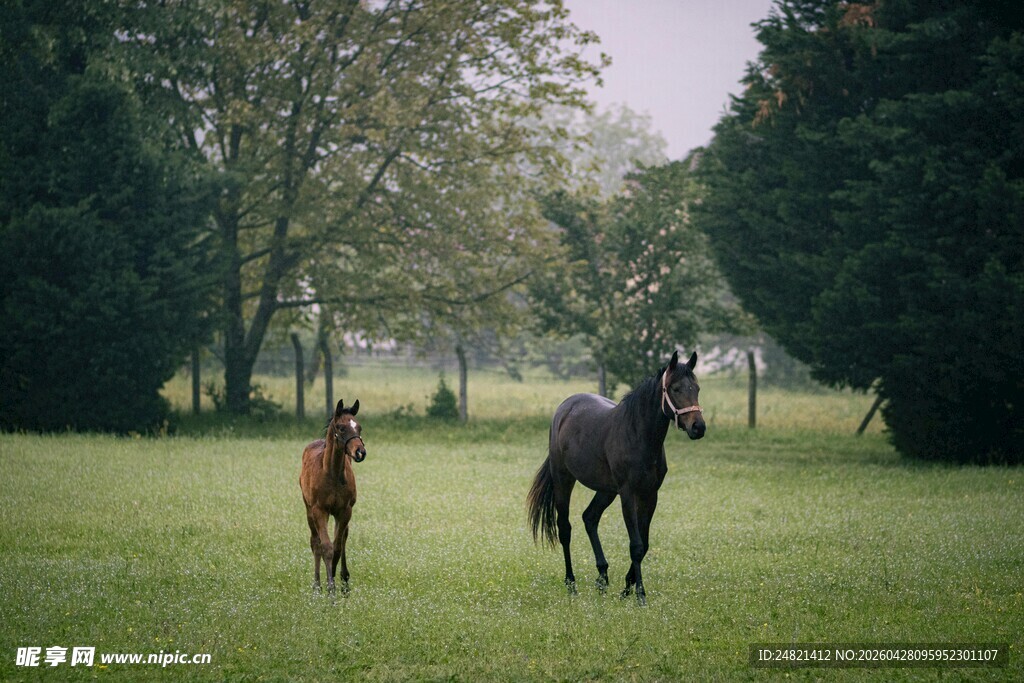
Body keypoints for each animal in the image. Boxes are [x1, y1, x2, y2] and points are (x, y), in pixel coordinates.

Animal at [299, 398, 367, 594]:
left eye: (359, 427)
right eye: (341, 427)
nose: (360, 452)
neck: (332, 474)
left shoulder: (344, 511)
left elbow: (337, 546)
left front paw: (337, 581)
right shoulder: (319, 510)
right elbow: (326, 547)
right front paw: (330, 588)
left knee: (342, 539)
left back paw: (343, 579)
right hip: (309, 509)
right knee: (315, 542)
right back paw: (316, 586)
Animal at [527, 351, 705, 605]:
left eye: (697, 388)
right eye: (676, 389)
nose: (698, 427)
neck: (639, 435)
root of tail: (564, 408)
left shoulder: (650, 495)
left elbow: (644, 543)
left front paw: (627, 588)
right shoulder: (628, 494)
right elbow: (636, 544)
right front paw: (640, 594)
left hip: (606, 490)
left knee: (590, 518)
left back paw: (602, 577)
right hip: (564, 480)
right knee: (565, 529)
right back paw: (571, 584)